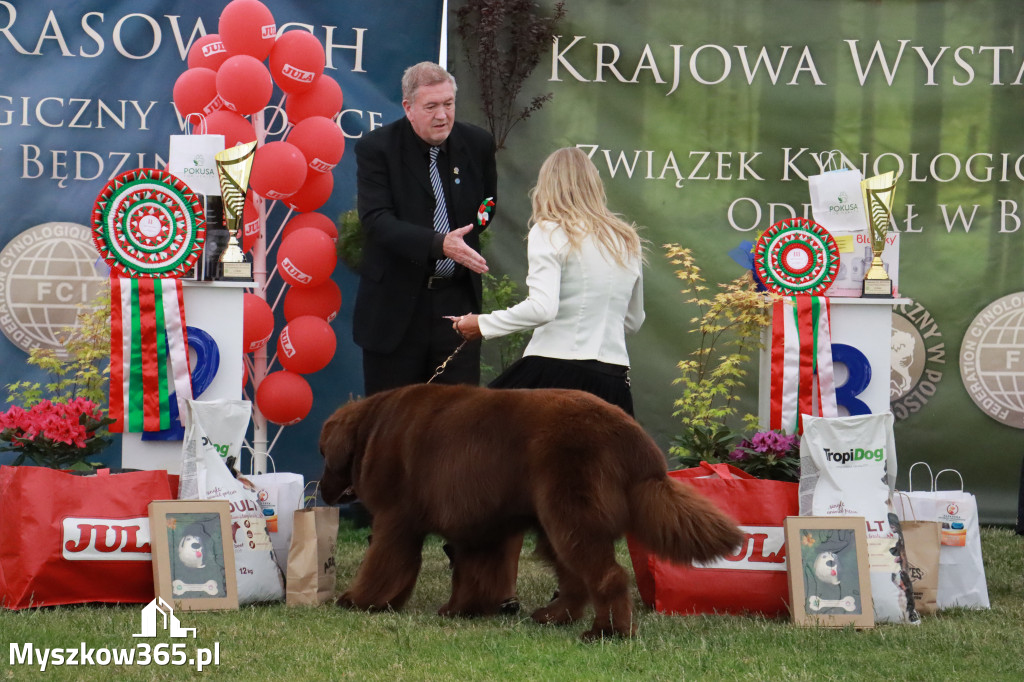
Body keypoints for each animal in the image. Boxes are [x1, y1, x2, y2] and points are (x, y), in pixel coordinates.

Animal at [319, 382, 745, 638]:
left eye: (323, 453)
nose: (321, 491)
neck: (373, 425)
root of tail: (636, 441)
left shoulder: (396, 519)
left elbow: (384, 563)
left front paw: (360, 601)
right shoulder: (481, 525)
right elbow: (473, 575)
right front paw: (462, 610)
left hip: (570, 514)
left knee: (606, 575)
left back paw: (607, 632)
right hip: (555, 521)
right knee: (575, 580)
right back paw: (554, 618)